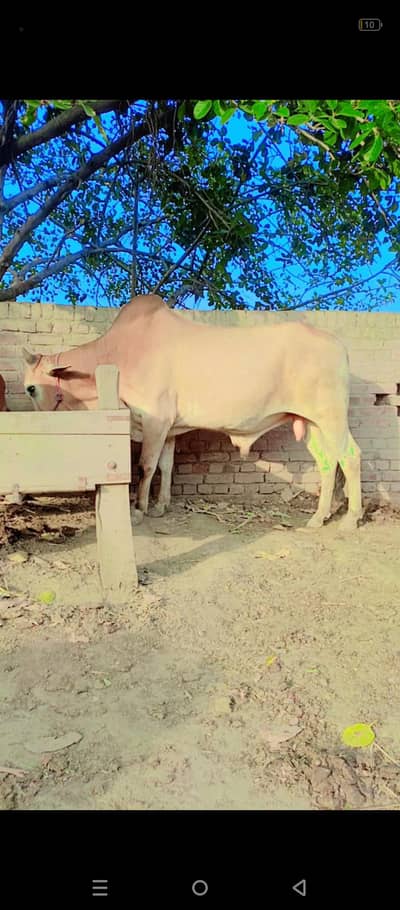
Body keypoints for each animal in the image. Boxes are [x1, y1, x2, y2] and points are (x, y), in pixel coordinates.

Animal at [22, 294, 362, 531]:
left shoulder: (155, 420)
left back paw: (350, 519)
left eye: (31, 388)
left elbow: (146, 466)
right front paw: (161, 506)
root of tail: (338, 345)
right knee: (328, 462)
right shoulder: (169, 429)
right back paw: (319, 517)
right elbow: (166, 466)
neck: (118, 354)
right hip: (310, 422)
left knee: (350, 456)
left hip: (331, 417)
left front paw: (139, 509)